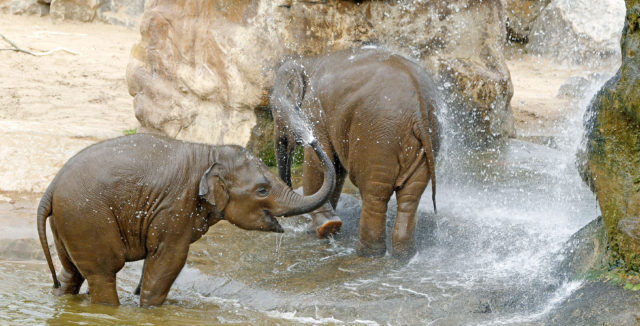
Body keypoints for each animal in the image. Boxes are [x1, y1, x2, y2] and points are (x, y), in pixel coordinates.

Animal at [36, 132, 336, 306]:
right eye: (262, 190)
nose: (310, 139)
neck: (210, 153)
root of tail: (51, 187)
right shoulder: (175, 207)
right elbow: (170, 258)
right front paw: (150, 311)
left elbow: (156, 260)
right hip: (87, 218)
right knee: (103, 274)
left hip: (69, 221)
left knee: (71, 273)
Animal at [270, 47, 440, 258]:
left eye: (273, 109)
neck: (308, 62)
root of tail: (419, 110)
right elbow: (335, 168)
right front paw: (327, 228)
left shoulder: (315, 111)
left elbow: (318, 162)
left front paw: (325, 228)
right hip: (426, 142)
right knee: (410, 197)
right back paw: (402, 255)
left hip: (378, 138)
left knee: (374, 194)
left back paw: (367, 253)